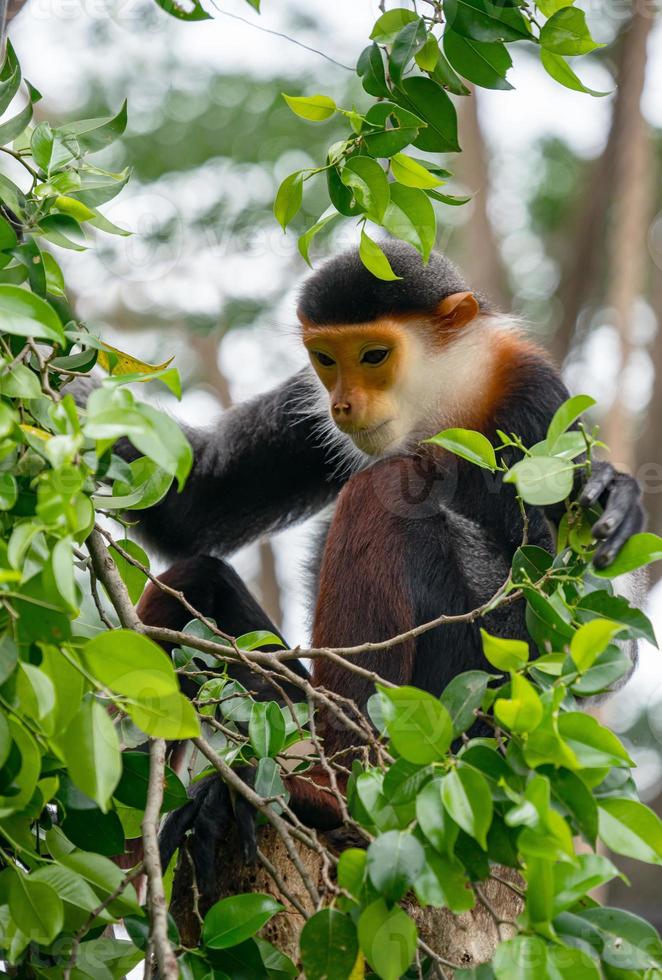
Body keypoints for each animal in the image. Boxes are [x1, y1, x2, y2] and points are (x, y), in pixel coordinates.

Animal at [107, 241, 644, 892]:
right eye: (326, 359)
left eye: (374, 356)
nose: (344, 403)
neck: (444, 403)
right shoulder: (308, 398)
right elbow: (195, 506)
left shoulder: (535, 398)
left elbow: (599, 640)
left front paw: (615, 495)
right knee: (195, 584)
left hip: (464, 715)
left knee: (381, 494)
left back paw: (327, 796)